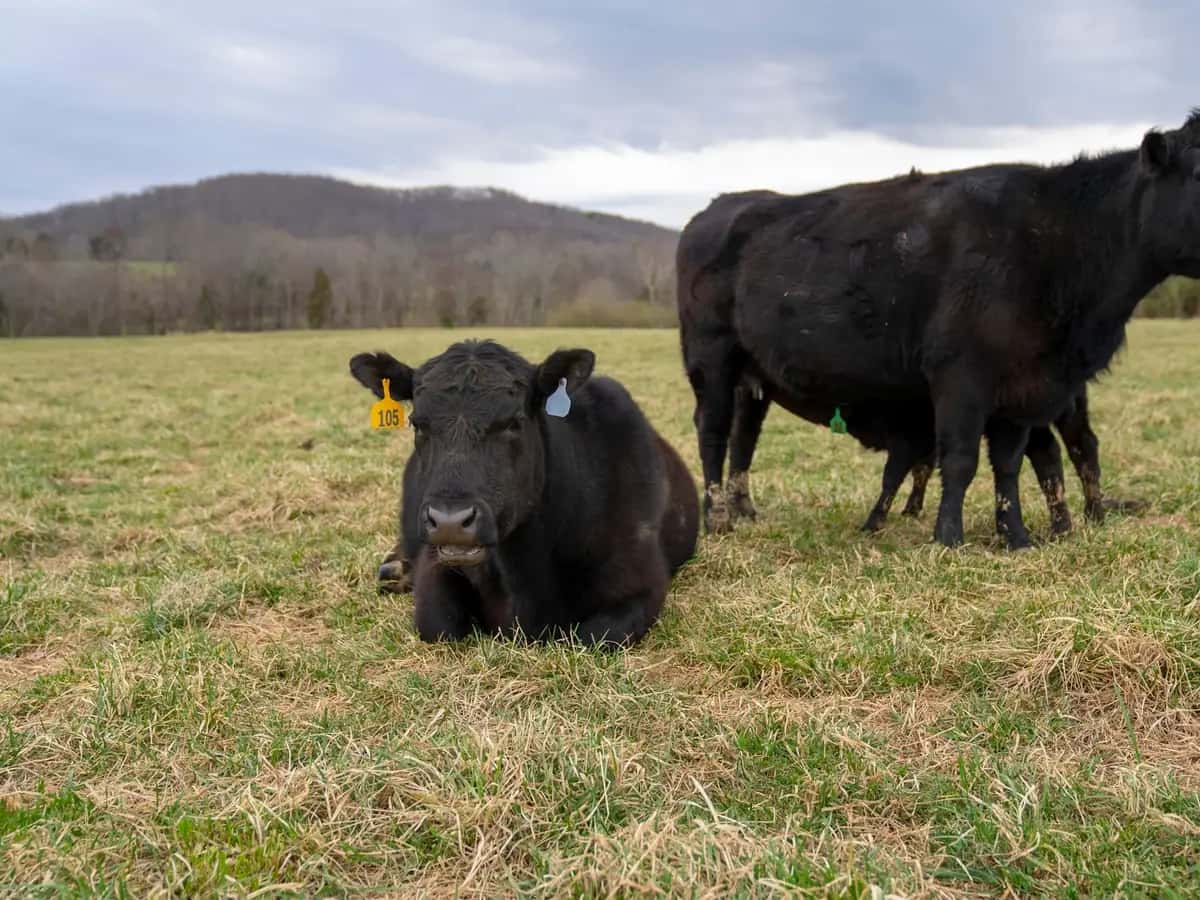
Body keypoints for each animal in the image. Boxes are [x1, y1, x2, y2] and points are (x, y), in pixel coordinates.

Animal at [348, 339, 699, 647]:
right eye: (417, 423)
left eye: (513, 422)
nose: (450, 521)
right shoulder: (436, 567)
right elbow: (439, 626)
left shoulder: (642, 584)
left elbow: (594, 637)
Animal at [678, 111, 1200, 548]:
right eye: (1197, 173)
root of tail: (719, 207)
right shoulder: (961, 375)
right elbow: (961, 458)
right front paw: (948, 537)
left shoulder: (1022, 388)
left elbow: (1008, 463)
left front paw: (1016, 536)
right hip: (710, 358)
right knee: (713, 431)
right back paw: (717, 519)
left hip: (753, 375)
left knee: (744, 438)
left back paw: (744, 511)